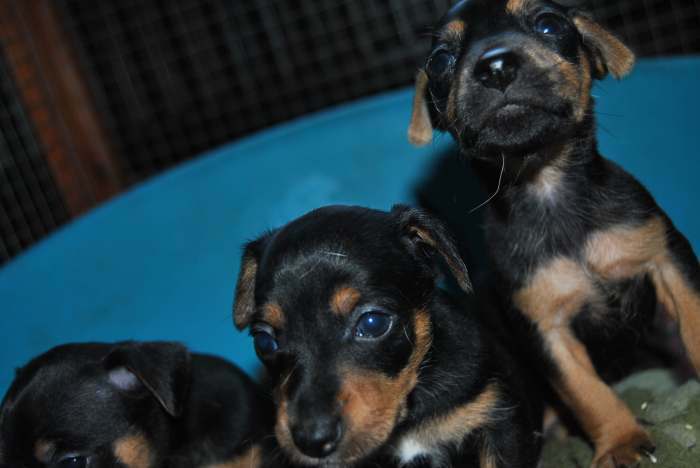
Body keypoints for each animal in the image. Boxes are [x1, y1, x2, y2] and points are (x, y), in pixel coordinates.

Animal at [408, 1, 696, 466]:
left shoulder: (667, 259)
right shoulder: (545, 328)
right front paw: (621, 441)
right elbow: (587, 393)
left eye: (548, 24)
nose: (496, 66)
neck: (548, 188)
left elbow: (695, 327)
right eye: (439, 61)